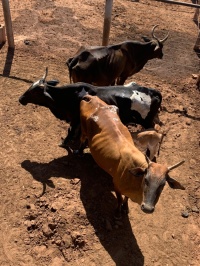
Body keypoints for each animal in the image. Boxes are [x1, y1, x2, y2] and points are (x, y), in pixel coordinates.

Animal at [19, 67, 162, 149]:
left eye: (34, 92)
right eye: (31, 86)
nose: (20, 99)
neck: (69, 96)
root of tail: (153, 91)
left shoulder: (75, 119)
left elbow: (70, 132)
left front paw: (65, 142)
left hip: (147, 122)